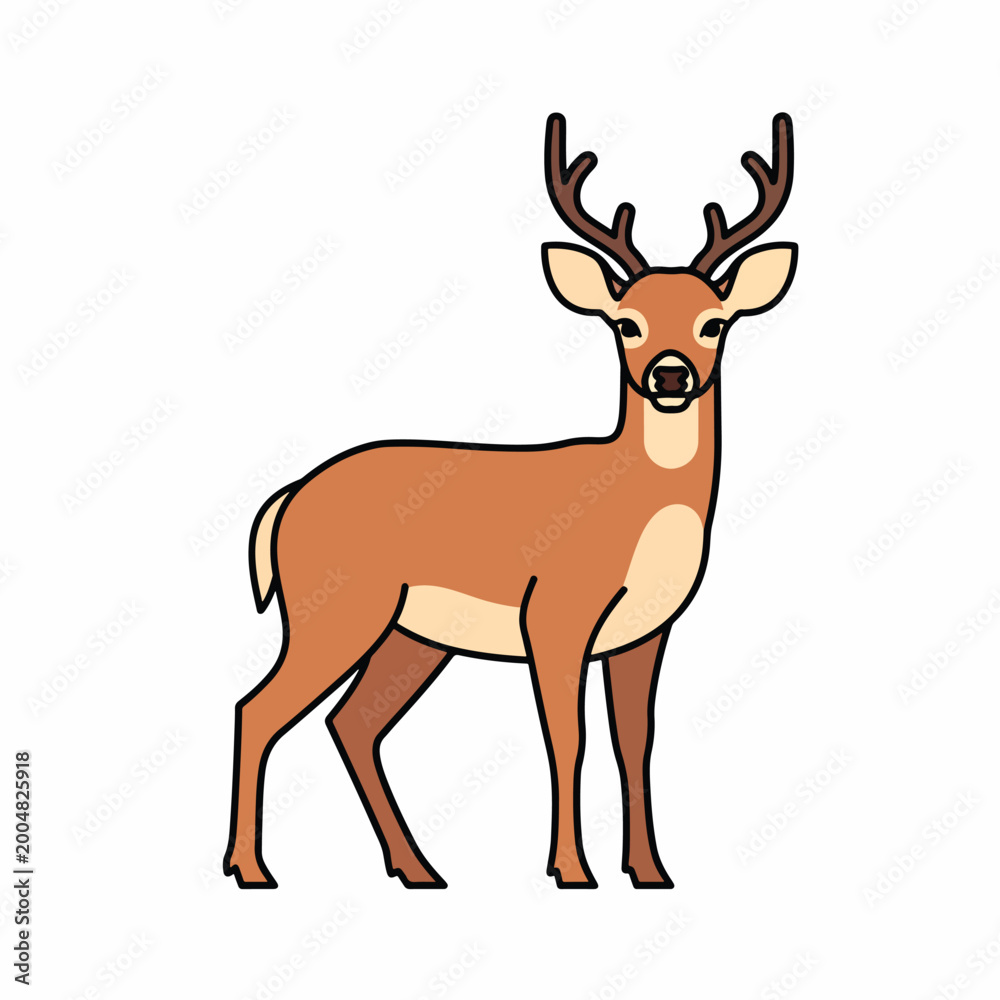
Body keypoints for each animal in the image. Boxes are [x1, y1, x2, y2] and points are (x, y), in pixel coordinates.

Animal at [224, 111, 797, 890]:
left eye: (715, 322)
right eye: (626, 322)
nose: (670, 375)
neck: (634, 505)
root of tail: (287, 498)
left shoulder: (646, 631)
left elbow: (635, 742)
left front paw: (649, 871)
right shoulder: (555, 613)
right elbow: (568, 737)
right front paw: (571, 871)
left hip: (411, 634)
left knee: (352, 723)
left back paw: (418, 869)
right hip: (335, 608)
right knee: (258, 708)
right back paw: (253, 870)